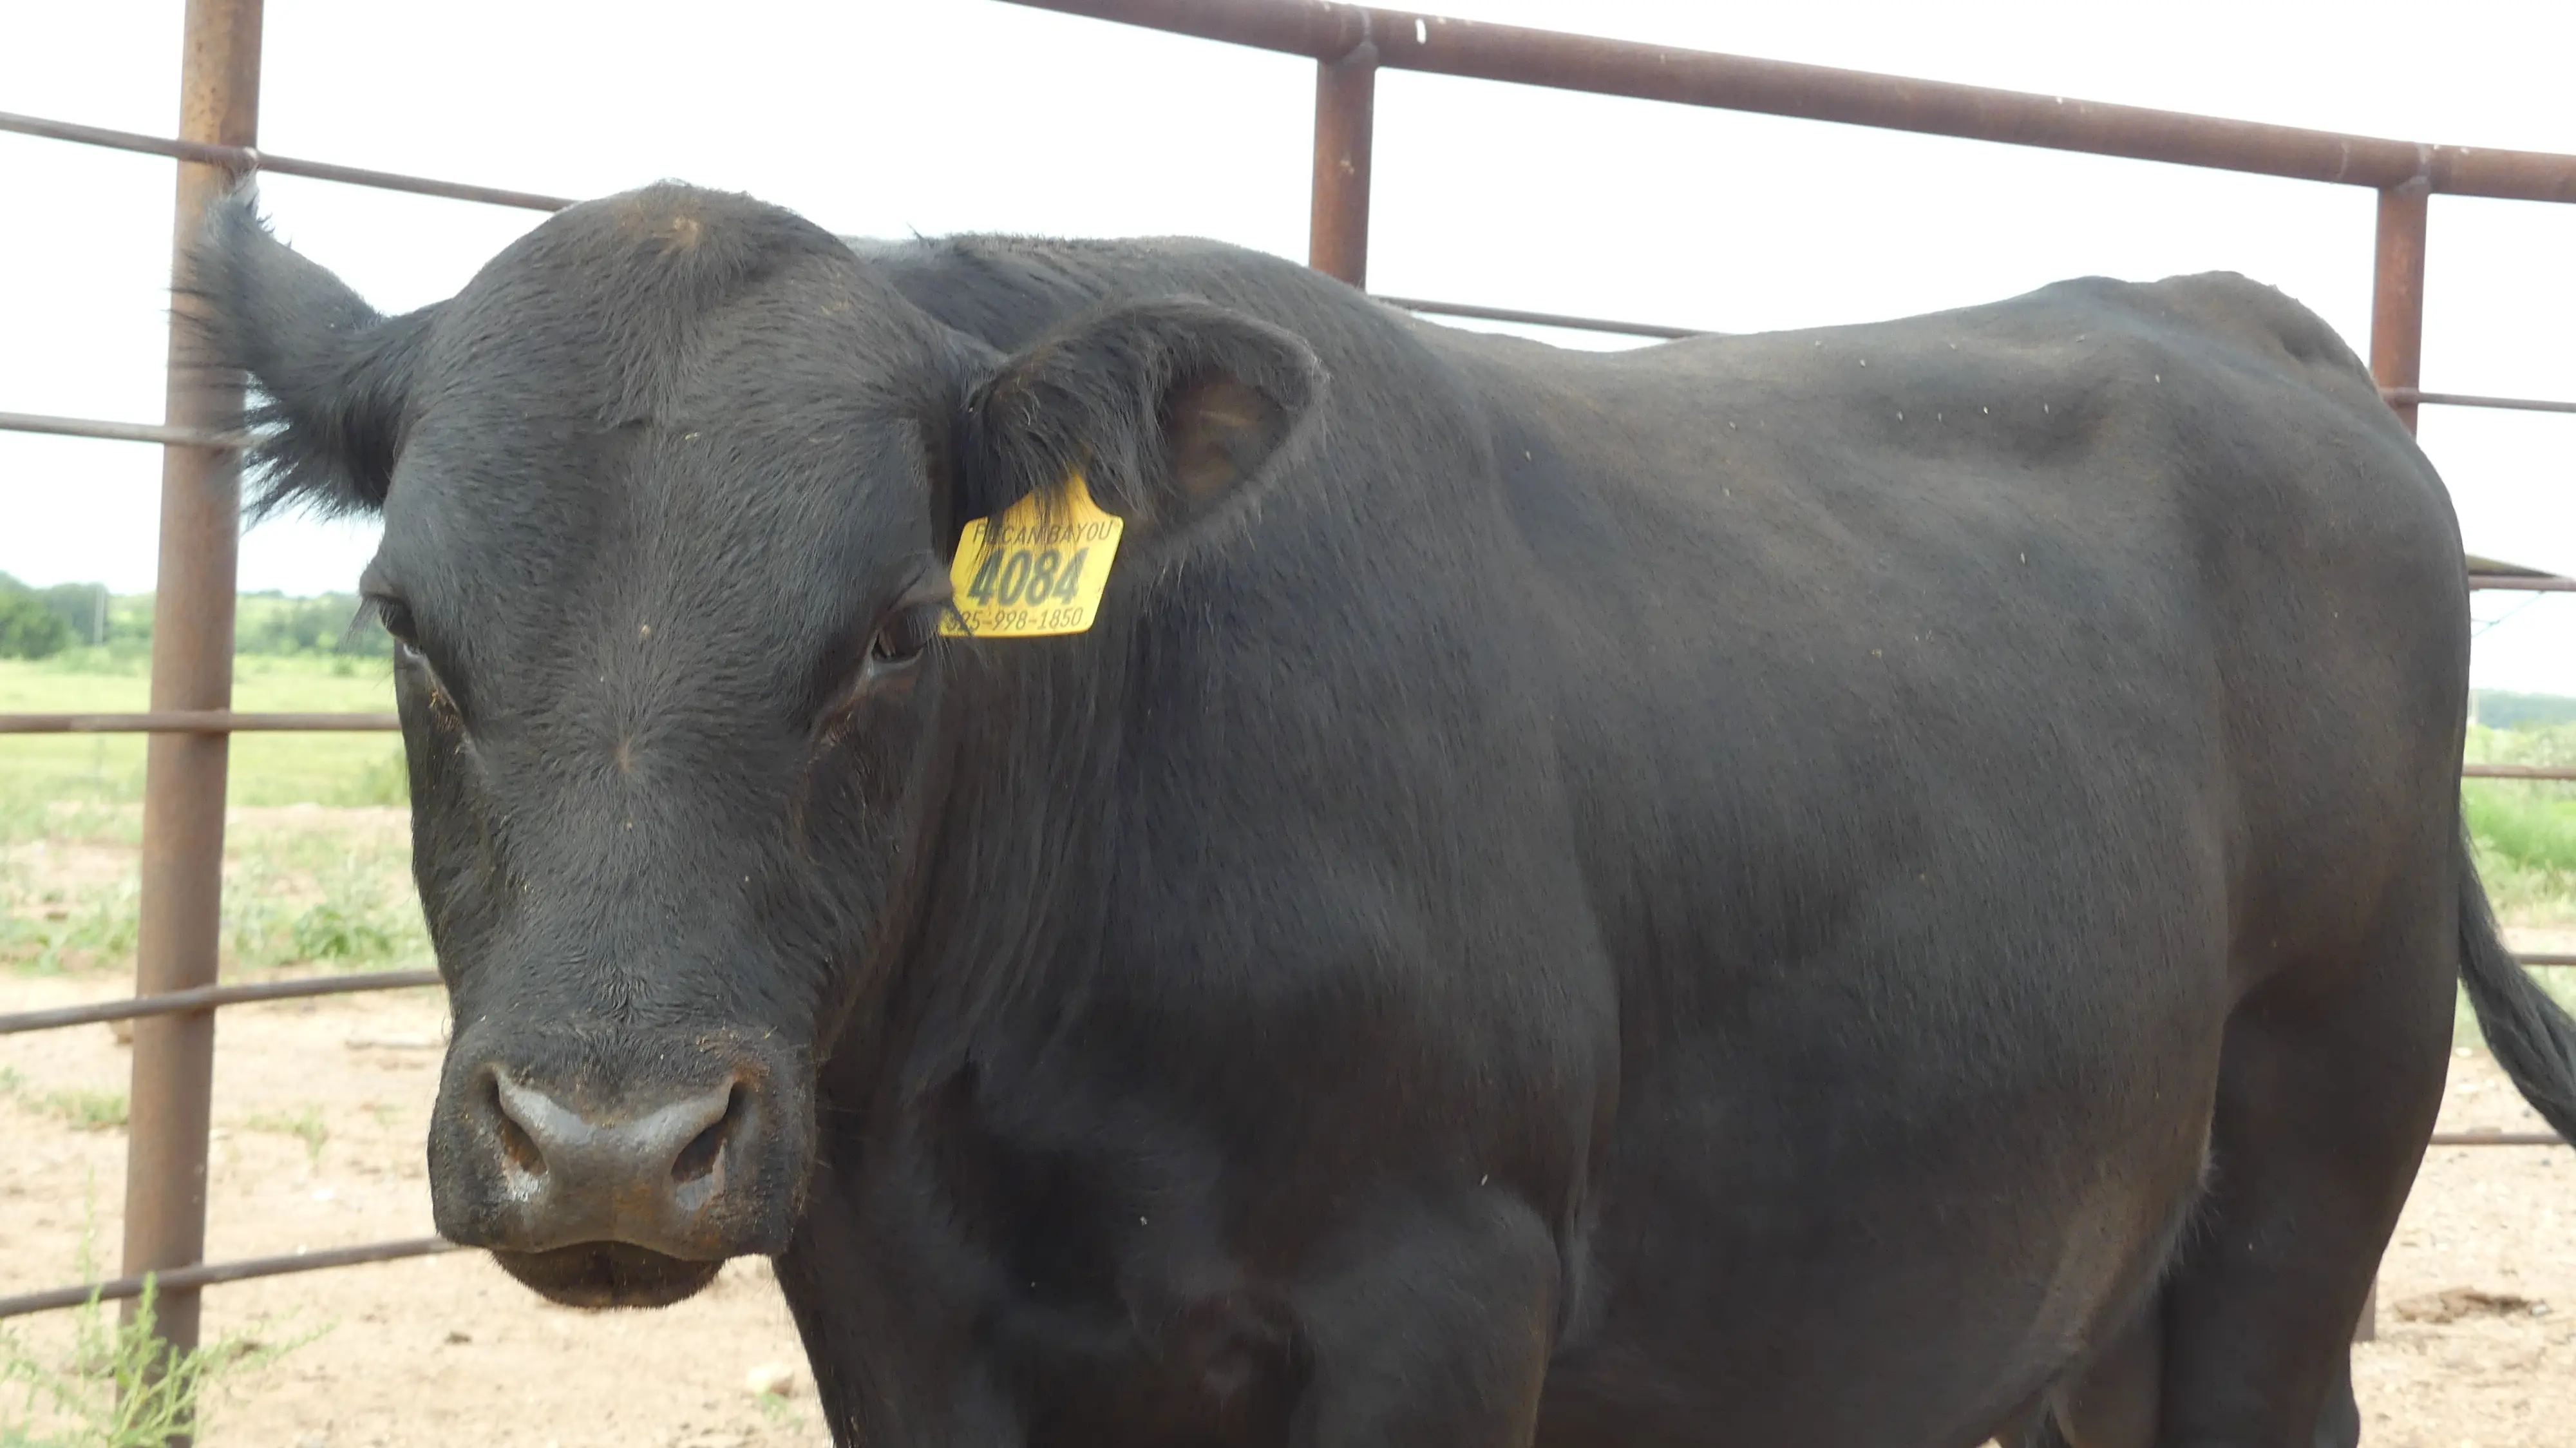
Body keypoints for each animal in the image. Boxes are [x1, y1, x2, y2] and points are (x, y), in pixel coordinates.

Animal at [197, 181, 2576, 1448]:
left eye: (890, 634)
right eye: (408, 628)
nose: (609, 1141)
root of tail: (2219, 315)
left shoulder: (1442, 1297)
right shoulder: (902, 1319)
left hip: (2304, 1176)